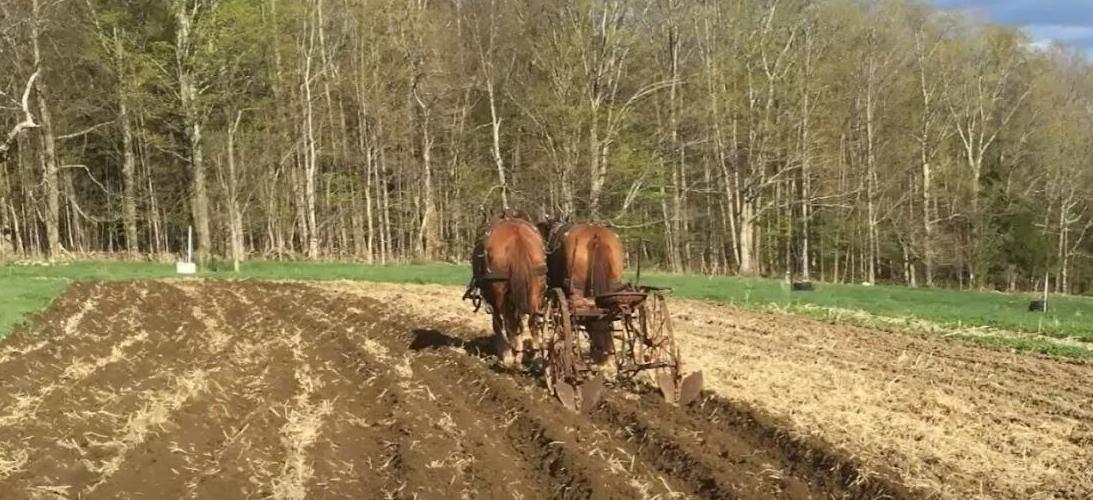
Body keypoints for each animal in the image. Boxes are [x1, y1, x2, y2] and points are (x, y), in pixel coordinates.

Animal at [465, 210, 547, 367]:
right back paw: (537, 358)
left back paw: (511, 358)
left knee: (508, 323)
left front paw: (504, 354)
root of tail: (517, 236)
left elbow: (498, 324)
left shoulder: (492, 297)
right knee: (532, 322)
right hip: (535, 289)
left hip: (499, 293)